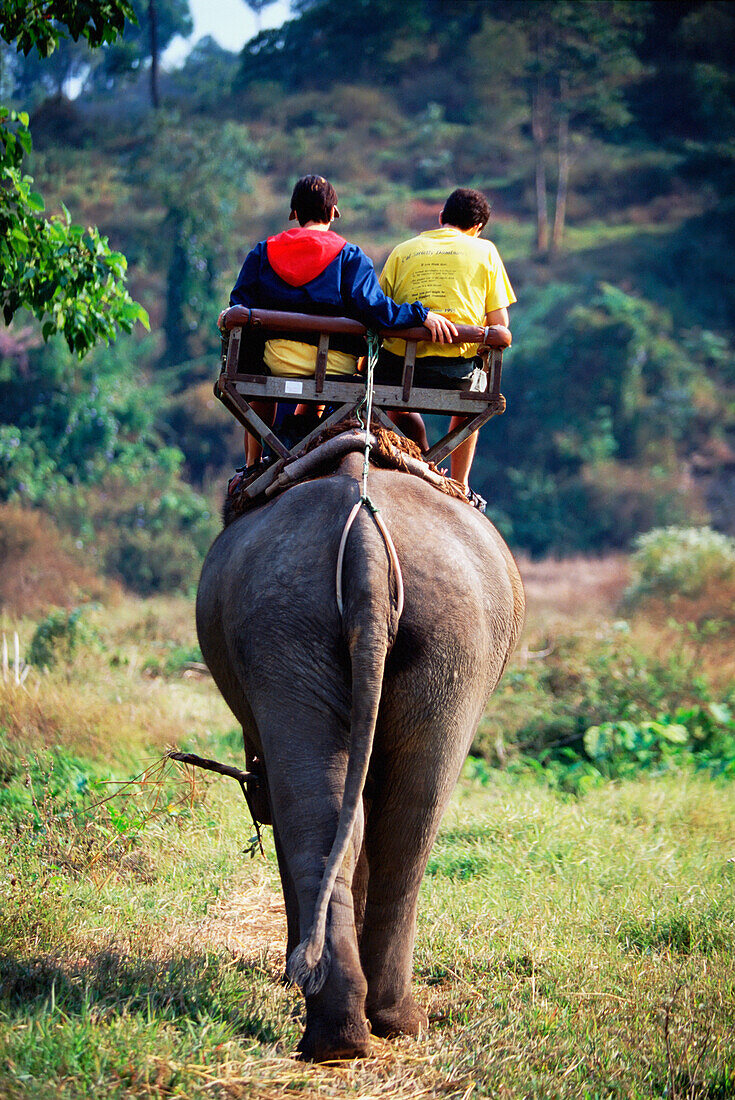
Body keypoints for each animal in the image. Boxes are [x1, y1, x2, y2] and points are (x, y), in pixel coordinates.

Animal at [194, 446, 521, 1056]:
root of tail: (366, 537)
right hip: (437, 634)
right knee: (400, 813)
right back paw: (368, 1025)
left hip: (313, 624)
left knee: (349, 811)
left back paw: (350, 1026)